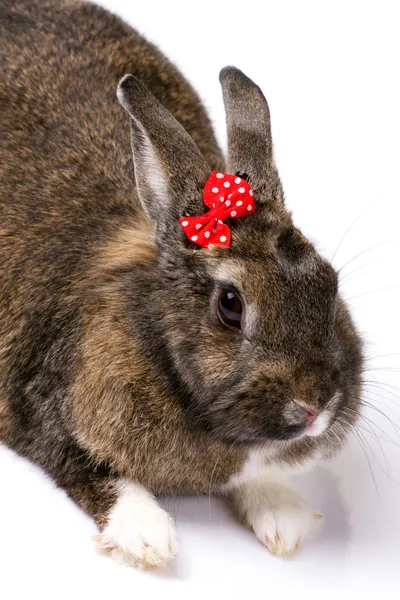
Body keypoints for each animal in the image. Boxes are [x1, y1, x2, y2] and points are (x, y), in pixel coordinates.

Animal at [0, 0, 362, 568]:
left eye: (330, 282)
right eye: (231, 305)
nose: (316, 404)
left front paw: (286, 519)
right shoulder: (38, 406)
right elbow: (91, 470)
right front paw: (147, 537)